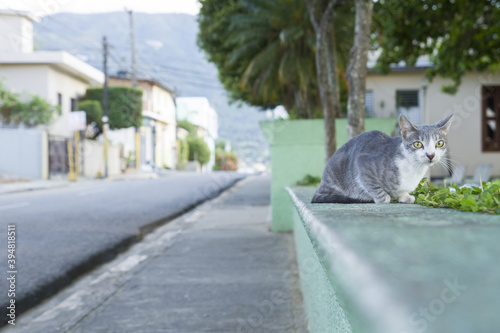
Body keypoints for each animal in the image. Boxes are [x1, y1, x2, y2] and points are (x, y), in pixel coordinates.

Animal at [314, 113, 456, 204]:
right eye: (417, 144)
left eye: (439, 143)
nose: (431, 155)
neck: (414, 168)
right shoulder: (362, 164)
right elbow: (372, 186)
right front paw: (384, 198)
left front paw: (404, 196)